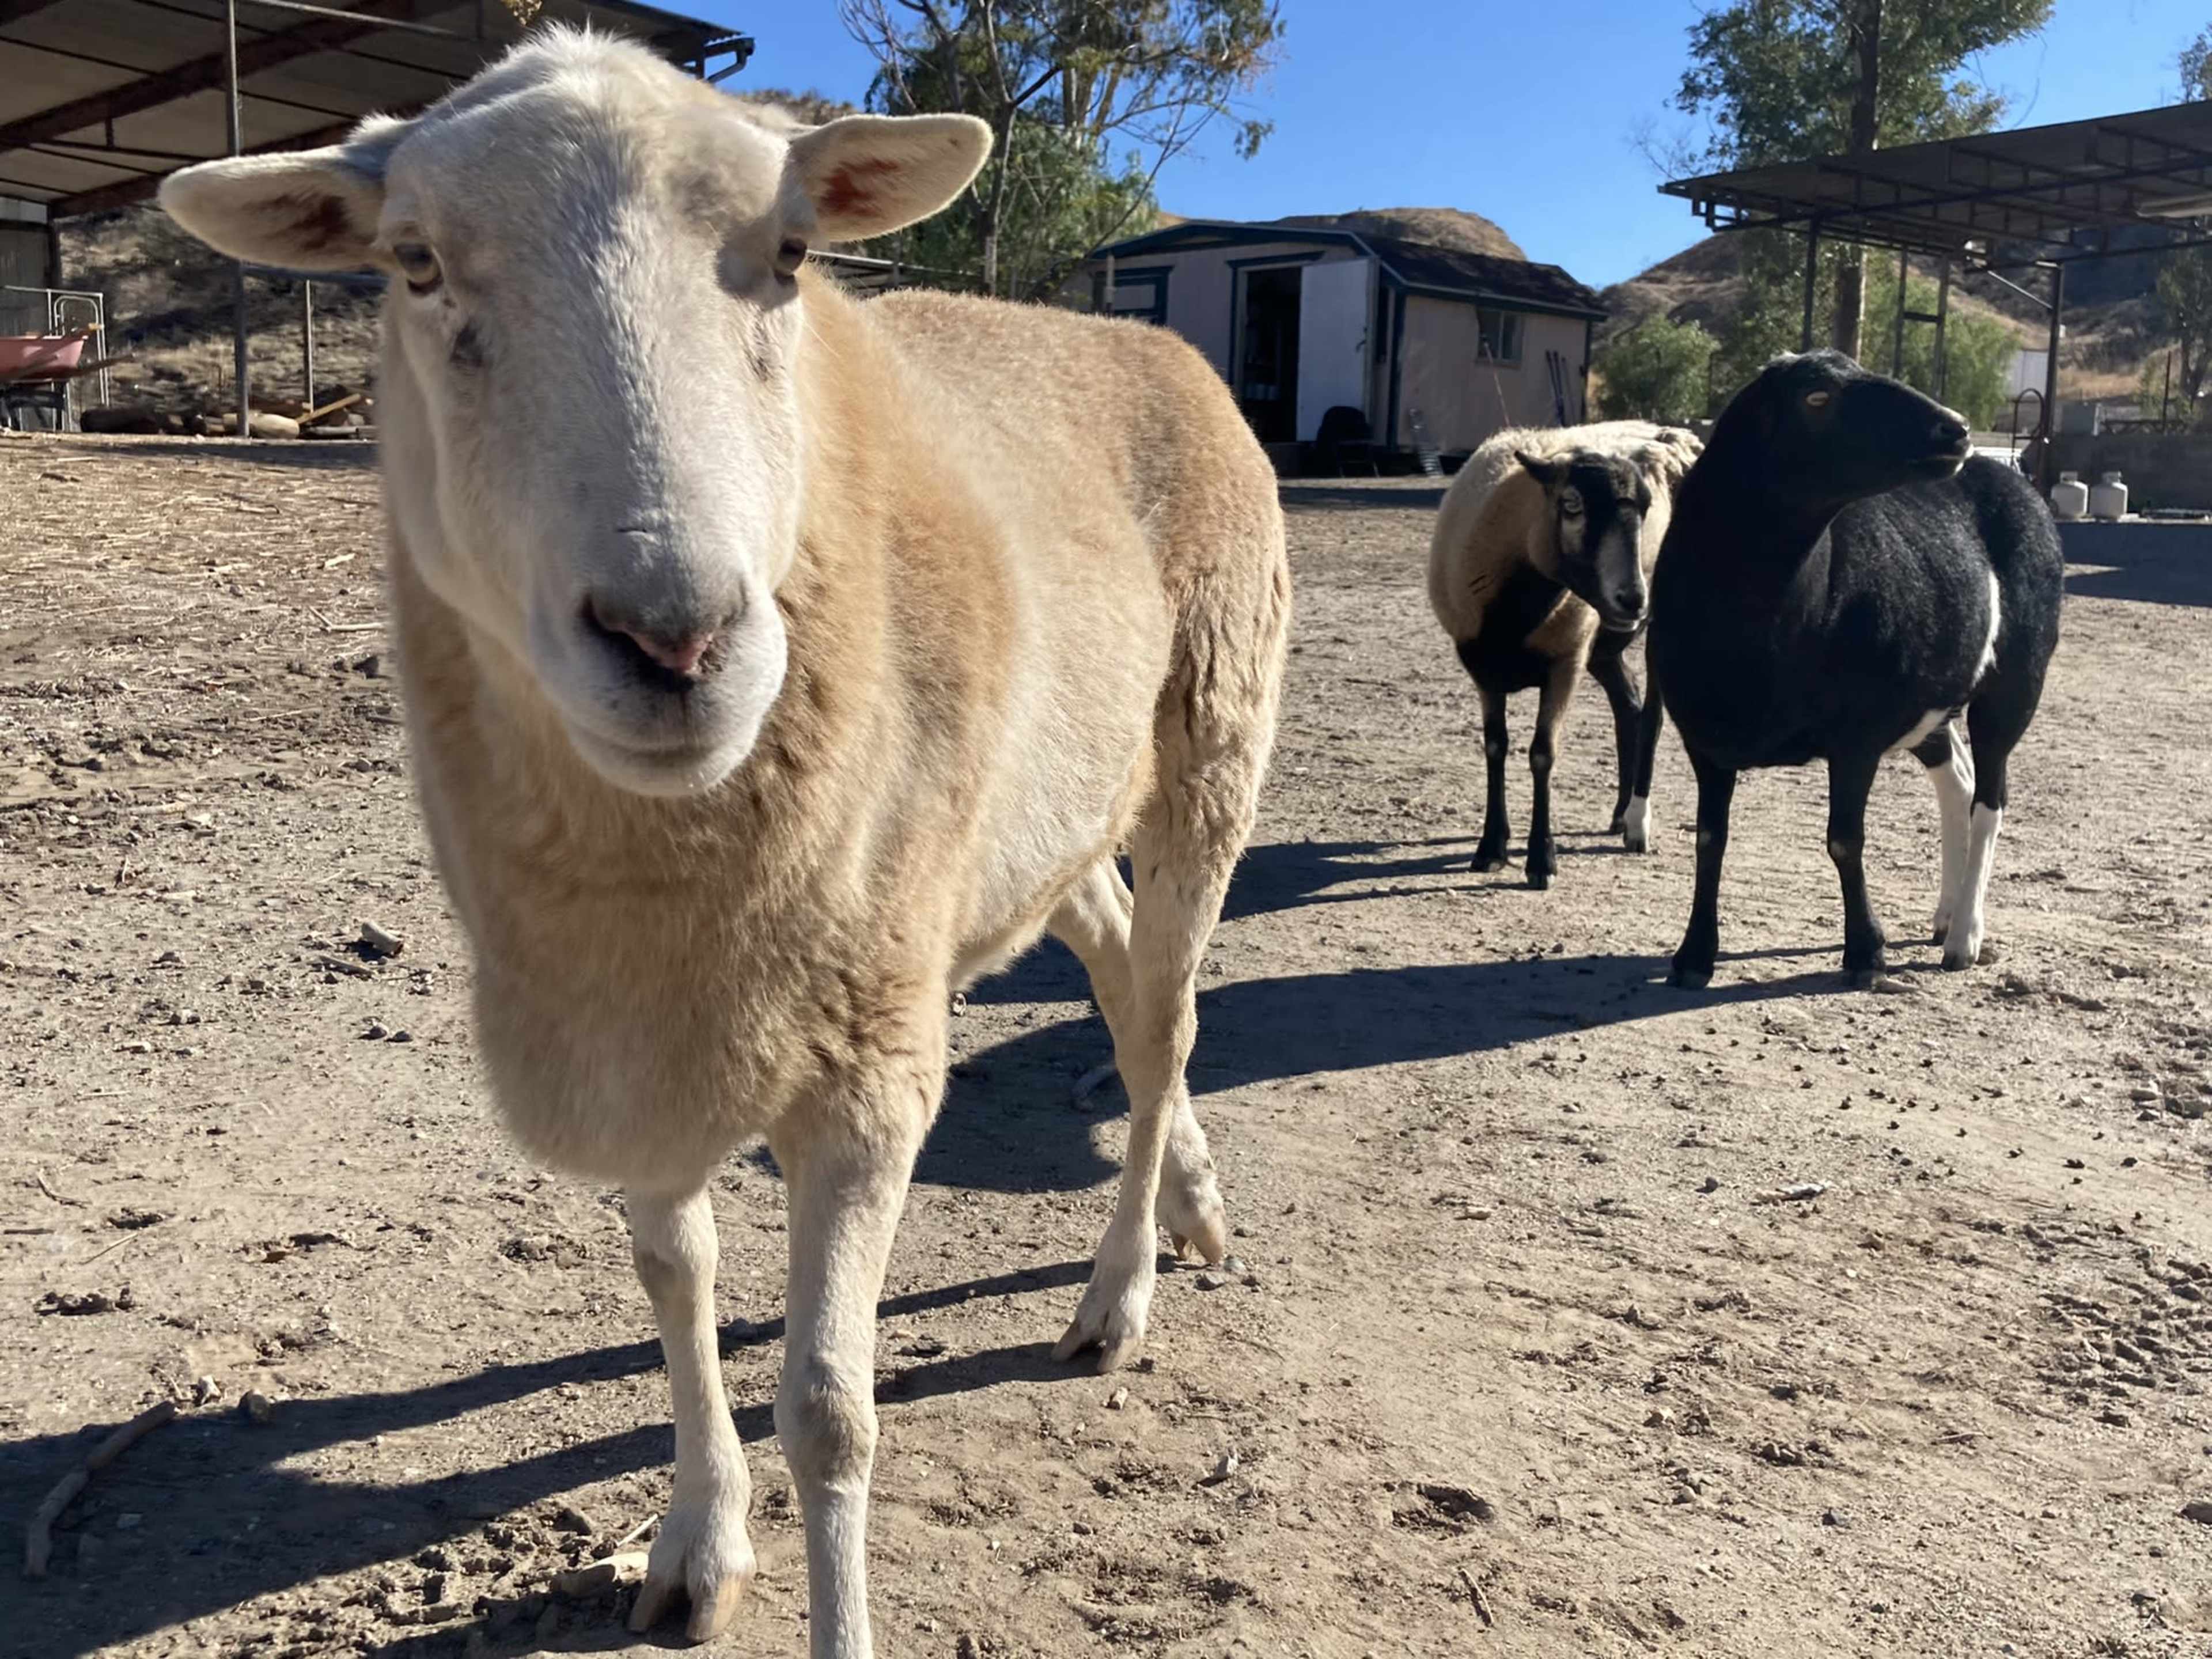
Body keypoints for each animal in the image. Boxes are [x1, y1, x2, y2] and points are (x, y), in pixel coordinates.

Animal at [160, 32, 1289, 1657]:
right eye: (415, 265)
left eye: (794, 255)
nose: (674, 639)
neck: (670, 871)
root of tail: (1143, 341)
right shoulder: (639, 1020)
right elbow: (673, 1276)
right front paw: (698, 1540)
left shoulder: (871, 1059)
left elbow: (828, 1410)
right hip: (1028, 823)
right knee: (1129, 979)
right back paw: (1188, 1204)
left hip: (1212, 740)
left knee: (1167, 1016)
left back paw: (1118, 1295)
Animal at [1428, 420, 1701, 886]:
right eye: (1571, 505)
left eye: (1647, 510)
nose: (1634, 599)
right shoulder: (1483, 667)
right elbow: (1495, 747)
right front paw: (1492, 847)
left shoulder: (1565, 663)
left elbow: (1543, 754)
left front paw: (1542, 860)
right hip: (1604, 644)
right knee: (1627, 705)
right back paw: (1620, 813)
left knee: (1651, 716)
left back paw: (1637, 823)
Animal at [1647, 349, 2062, 988]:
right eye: (1816, 398)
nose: (1955, 430)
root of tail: (2009, 475)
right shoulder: (1704, 737)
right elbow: (1710, 840)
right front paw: (1693, 956)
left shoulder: (1856, 737)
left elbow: (1845, 841)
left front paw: (1865, 953)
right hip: (1928, 696)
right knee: (1958, 782)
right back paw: (1945, 917)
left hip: (2016, 682)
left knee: (1990, 797)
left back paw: (1964, 938)